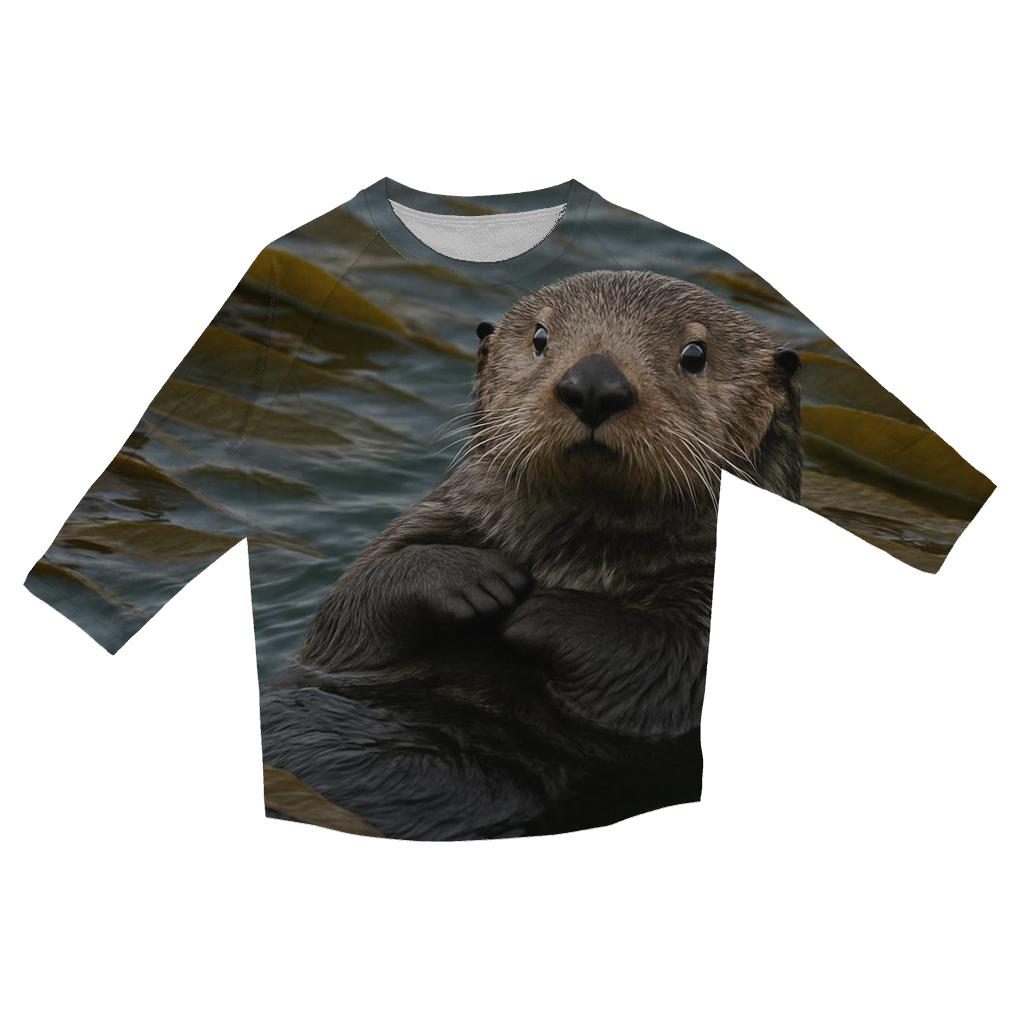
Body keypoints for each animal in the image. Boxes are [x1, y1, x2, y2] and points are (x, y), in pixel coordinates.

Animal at [261, 270, 801, 840]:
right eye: (540, 337)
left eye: (695, 353)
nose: (593, 384)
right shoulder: (433, 524)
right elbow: (350, 611)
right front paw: (477, 579)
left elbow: (671, 661)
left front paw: (539, 612)